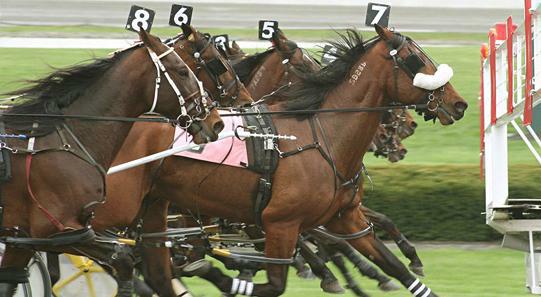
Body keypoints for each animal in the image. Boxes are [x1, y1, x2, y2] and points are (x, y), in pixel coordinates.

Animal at [0, 28, 221, 294]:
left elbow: (10, 279)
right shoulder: (54, 230)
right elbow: (123, 258)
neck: (67, 141)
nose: (216, 122)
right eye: (182, 71)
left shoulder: (21, 236)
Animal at [138, 26, 464, 294]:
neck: (325, 136)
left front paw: (401, 262)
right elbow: (288, 268)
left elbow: (388, 256)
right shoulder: (279, 221)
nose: (458, 104)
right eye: (415, 60)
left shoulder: (343, 215)